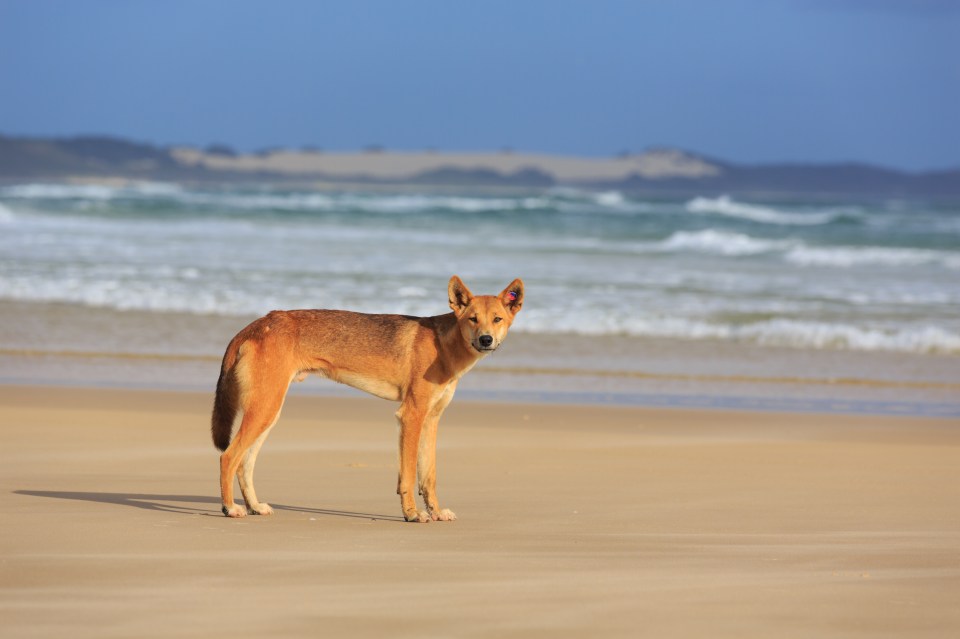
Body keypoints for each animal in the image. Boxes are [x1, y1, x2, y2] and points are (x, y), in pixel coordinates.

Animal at [211, 278, 524, 524]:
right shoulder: (411, 415)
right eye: (473, 319)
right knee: (228, 457)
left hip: (269, 412)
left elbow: (428, 476)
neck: (443, 346)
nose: (486, 340)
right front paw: (412, 513)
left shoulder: (432, 419)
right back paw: (230, 508)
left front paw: (435, 512)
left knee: (244, 463)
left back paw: (254, 506)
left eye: (497, 319)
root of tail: (256, 324)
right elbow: (408, 475)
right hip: (265, 409)